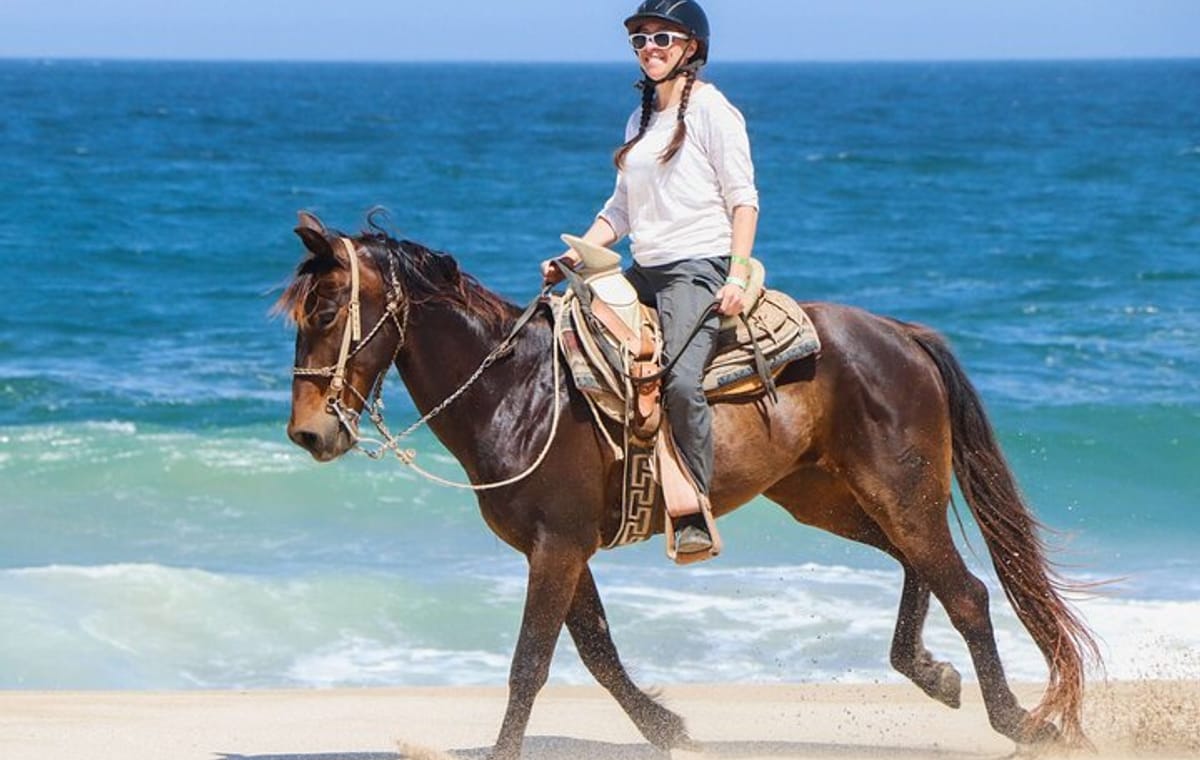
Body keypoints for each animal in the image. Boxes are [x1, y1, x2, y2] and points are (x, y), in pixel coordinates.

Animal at [278, 212, 1099, 760]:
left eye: (328, 310)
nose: (309, 433)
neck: (518, 389)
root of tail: (899, 333)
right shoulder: (565, 550)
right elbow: (597, 651)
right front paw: (665, 726)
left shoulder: (556, 547)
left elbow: (530, 664)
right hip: (829, 499)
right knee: (917, 567)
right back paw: (931, 674)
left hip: (901, 490)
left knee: (967, 592)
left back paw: (1022, 723)